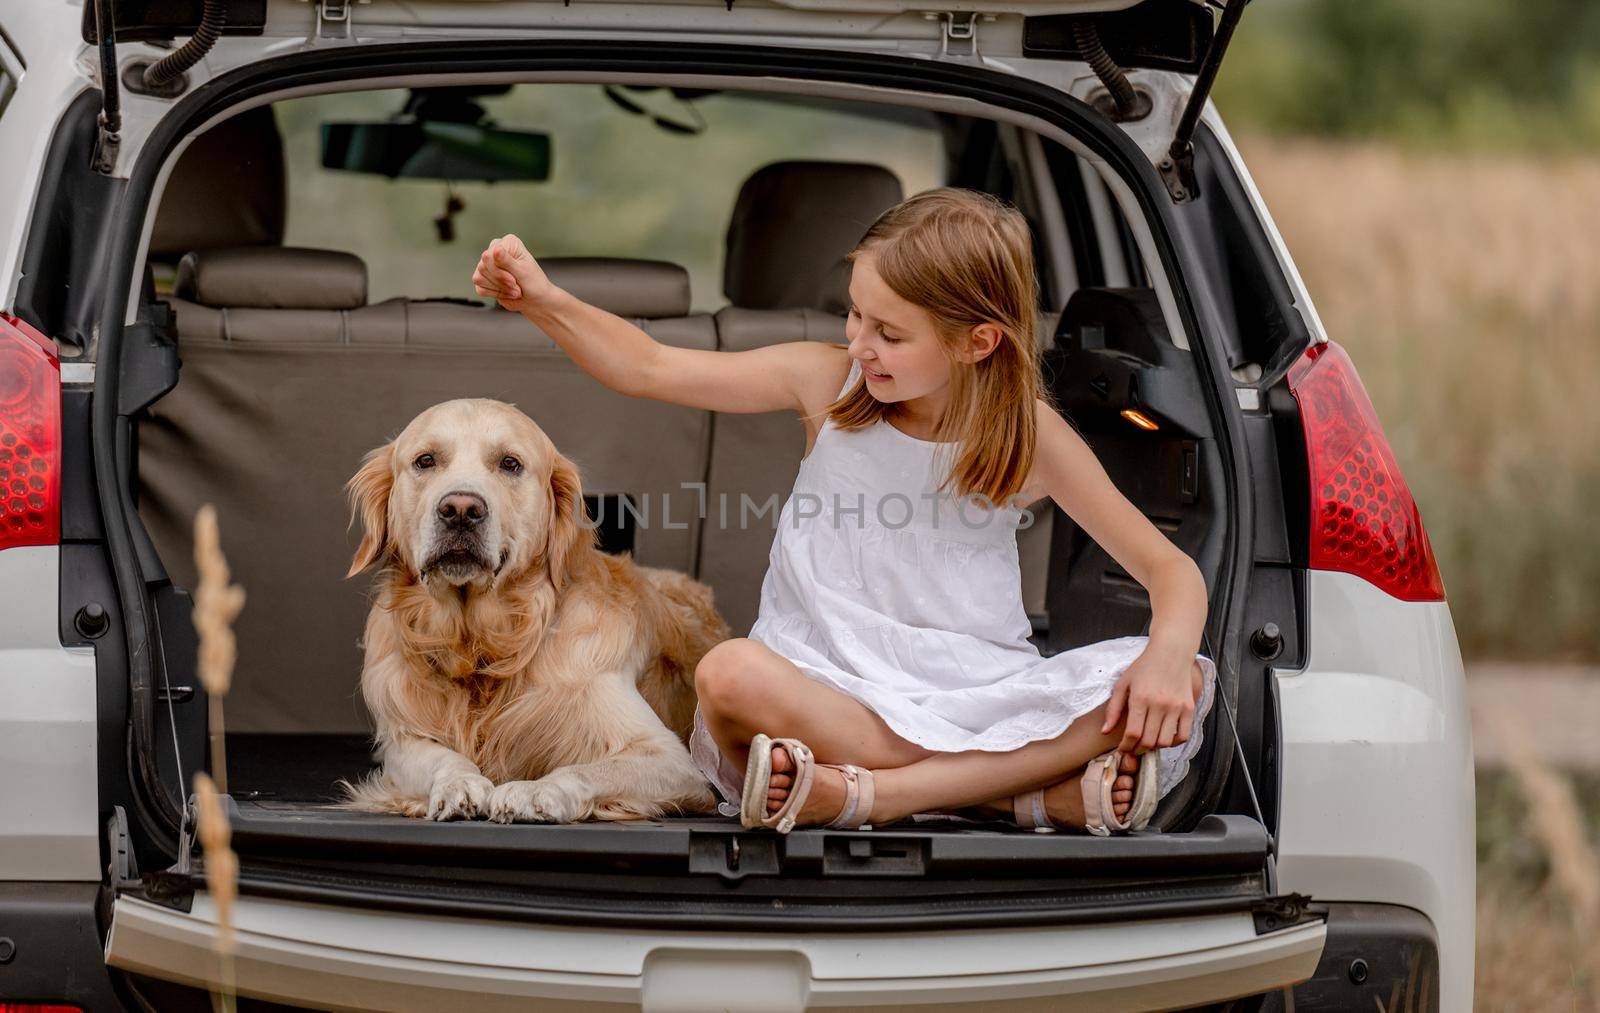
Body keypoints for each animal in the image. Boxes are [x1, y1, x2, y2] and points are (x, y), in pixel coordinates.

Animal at [344, 396, 732, 819]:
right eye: (425, 460)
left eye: (510, 463)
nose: (460, 509)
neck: (486, 649)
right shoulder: (403, 738)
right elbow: (440, 758)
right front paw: (456, 782)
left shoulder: (670, 758)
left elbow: (583, 769)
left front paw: (534, 791)